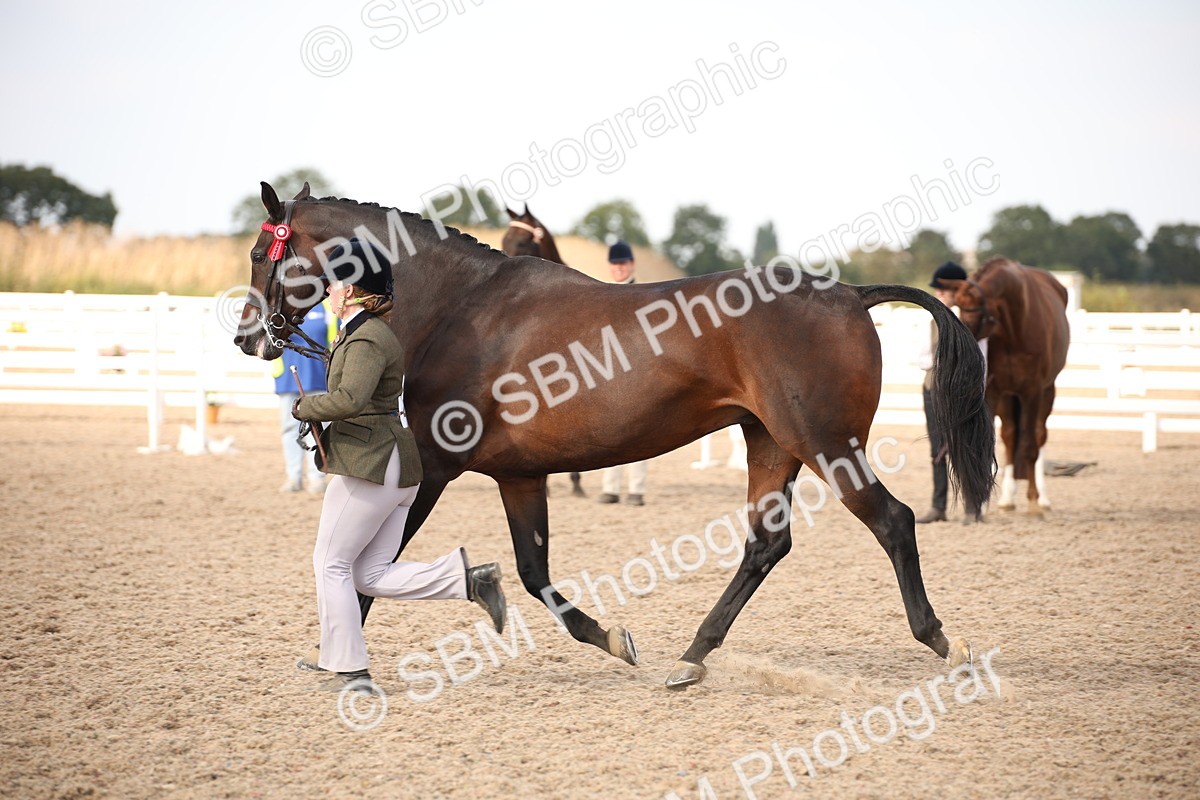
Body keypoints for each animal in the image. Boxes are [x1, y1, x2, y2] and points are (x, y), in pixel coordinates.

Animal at [947, 257, 1069, 516]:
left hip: (1047, 392)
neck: (1015, 326)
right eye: (958, 306)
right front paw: (980, 505)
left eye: (978, 310)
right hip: (1008, 397)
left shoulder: (1032, 391)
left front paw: (1033, 501)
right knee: (1011, 437)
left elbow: (1030, 446)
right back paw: (1007, 498)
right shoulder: (994, 391)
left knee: (1038, 436)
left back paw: (1042, 498)